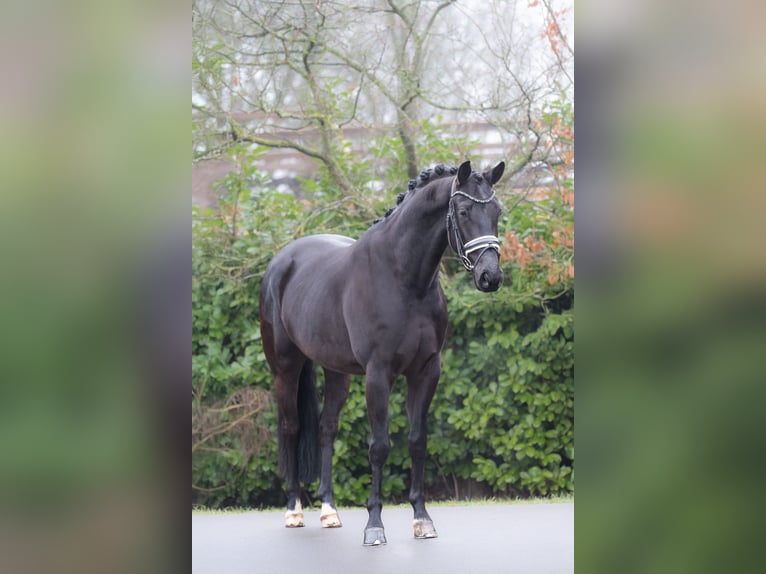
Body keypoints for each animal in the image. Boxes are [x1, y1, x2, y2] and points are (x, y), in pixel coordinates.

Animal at [259, 160, 506, 546]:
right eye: (464, 211)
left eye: (497, 211)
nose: (490, 276)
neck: (403, 278)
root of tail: (282, 261)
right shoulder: (378, 374)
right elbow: (379, 446)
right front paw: (374, 524)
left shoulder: (426, 371)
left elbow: (417, 441)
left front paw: (422, 519)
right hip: (285, 368)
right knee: (291, 427)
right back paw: (294, 510)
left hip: (337, 371)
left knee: (326, 428)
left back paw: (328, 510)